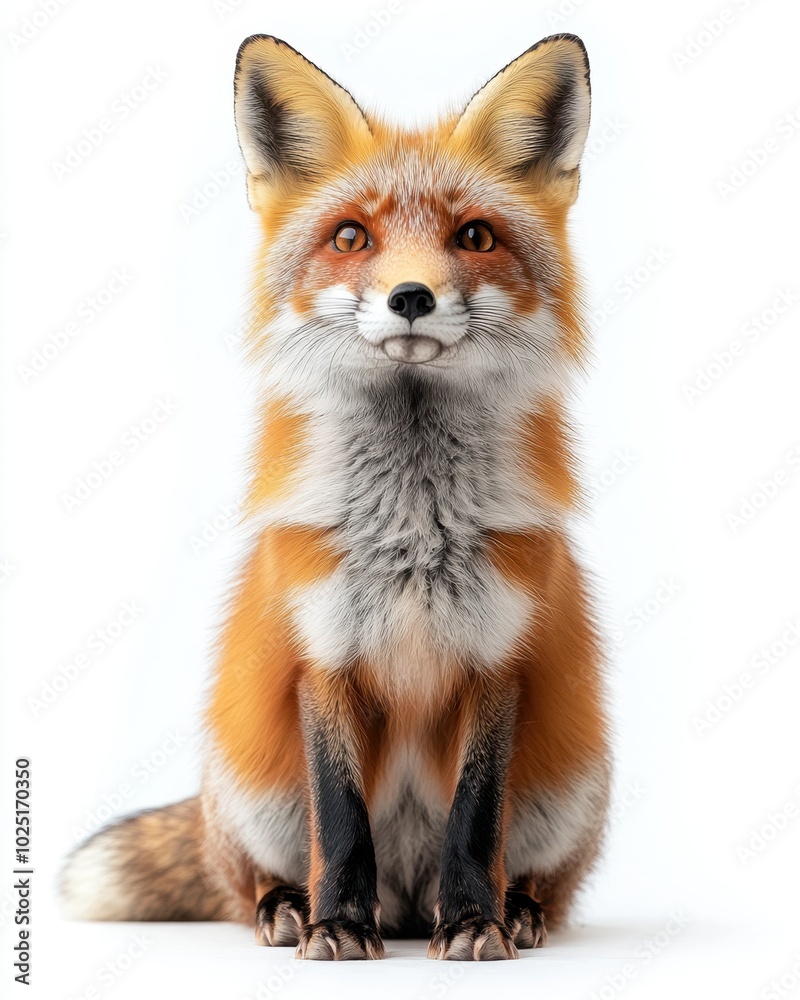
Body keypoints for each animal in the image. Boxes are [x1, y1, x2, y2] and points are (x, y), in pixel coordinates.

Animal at [59, 32, 611, 961]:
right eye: (352, 236)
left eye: (475, 236)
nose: (412, 296)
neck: (414, 528)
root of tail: (408, 900)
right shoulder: (322, 651)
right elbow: (341, 815)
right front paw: (338, 928)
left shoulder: (498, 653)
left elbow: (476, 819)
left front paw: (476, 923)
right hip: (251, 793)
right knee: (246, 877)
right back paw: (290, 907)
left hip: (572, 792)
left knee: (545, 879)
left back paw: (516, 909)